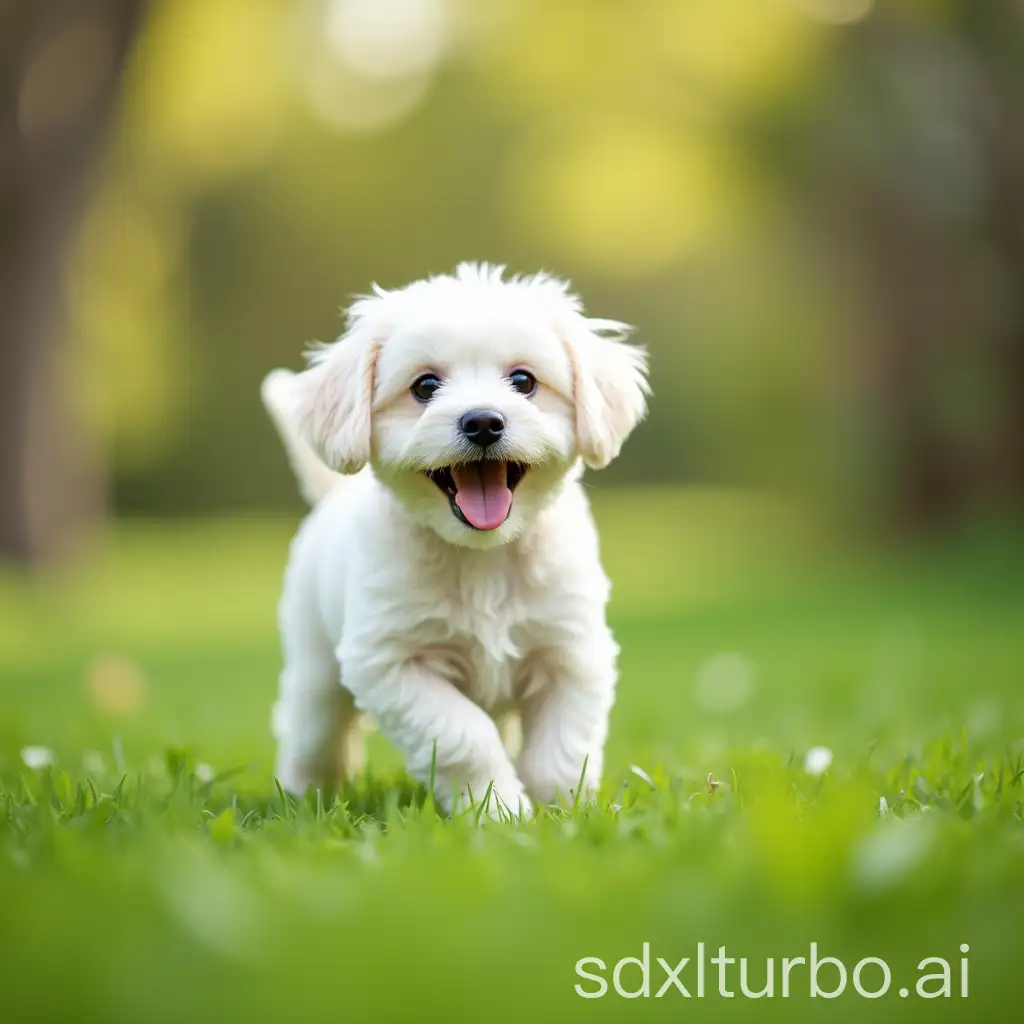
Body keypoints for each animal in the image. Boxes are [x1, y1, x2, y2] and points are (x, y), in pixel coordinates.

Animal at [264, 262, 647, 815]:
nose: (483, 421)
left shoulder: (570, 652)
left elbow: (560, 750)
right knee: (312, 732)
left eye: (524, 381)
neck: (483, 559)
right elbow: (464, 736)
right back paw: (303, 796)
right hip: (316, 669)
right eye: (425, 386)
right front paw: (498, 808)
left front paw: (561, 812)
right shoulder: (393, 662)